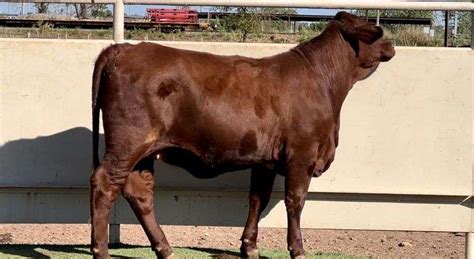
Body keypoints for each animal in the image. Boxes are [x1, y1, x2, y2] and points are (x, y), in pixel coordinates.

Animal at [90, 11, 394, 259]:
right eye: (373, 28)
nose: (391, 45)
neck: (324, 81)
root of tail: (124, 48)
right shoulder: (302, 155)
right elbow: (295, 202)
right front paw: (297, 250)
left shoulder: (265, 161)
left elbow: (258, 199)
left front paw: (249, 247)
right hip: (128, 143)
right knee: (104, 184)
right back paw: (101, 251)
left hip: (144, 150)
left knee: (139, 192)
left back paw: (165, 249)